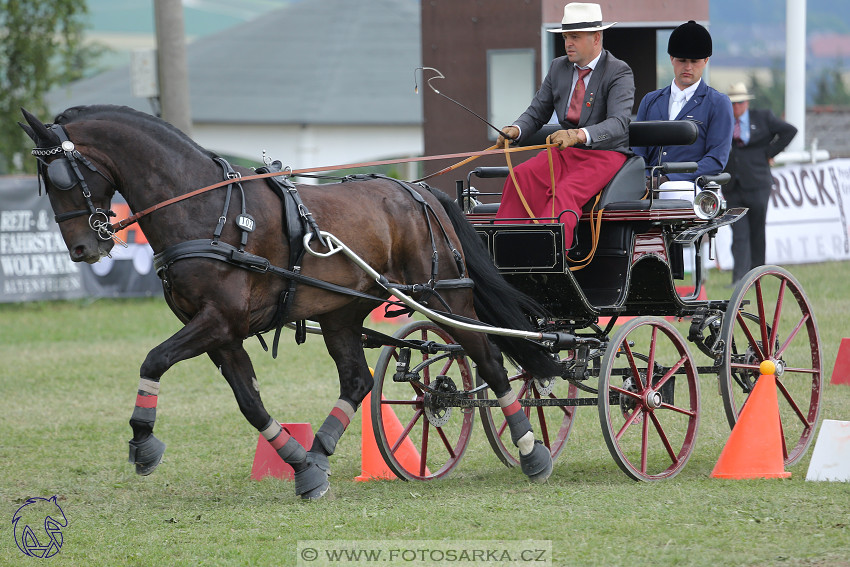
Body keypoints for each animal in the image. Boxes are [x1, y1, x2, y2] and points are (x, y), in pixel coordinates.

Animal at [19, 104, 560, 500]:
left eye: (61, 176)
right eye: (45, 181)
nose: (83, 249)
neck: (205, 211)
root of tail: (419, 191)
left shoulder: (217, 321)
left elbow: (153, 359)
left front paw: (143, 440)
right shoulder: (222, 333)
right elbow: (250, 402)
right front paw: (302, 467)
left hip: (445, 297)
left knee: (488, 357)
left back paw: (531, 449)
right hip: (342, 313)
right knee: (358, 380)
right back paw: (319, 449)